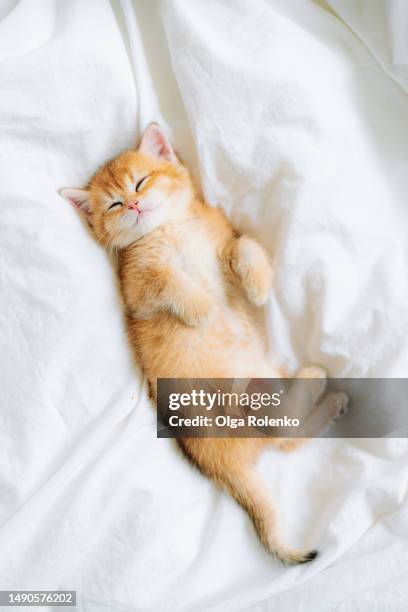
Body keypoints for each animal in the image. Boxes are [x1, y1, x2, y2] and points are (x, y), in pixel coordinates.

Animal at [60, 123, 348, 564]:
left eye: (141, 182)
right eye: (113, 204)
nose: (135, 206)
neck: (170, 228)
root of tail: (217, 462)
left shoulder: (225, 245)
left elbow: (244, 244)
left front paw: (259, 287)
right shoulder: (137, 290)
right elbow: (168, 279)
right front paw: (201, 308)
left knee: (288, 435)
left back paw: (322, 390)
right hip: (250, 407)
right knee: (285, 434)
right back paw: (320, 389)